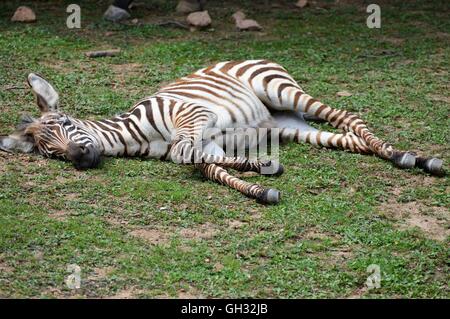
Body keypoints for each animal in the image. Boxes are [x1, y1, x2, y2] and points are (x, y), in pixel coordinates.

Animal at [0, 60, 442, 205]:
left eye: (66, 125)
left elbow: (185, 154)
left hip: (281, 91)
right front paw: (259, 177)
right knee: (348, 137)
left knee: (350, 117)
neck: (135, 134)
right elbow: (207, 166)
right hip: (290, 127)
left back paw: (406, 156)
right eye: (52, 154)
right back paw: (407, 157)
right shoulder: (209, 143)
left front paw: (258, 168)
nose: (79, 159)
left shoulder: (193, 117)